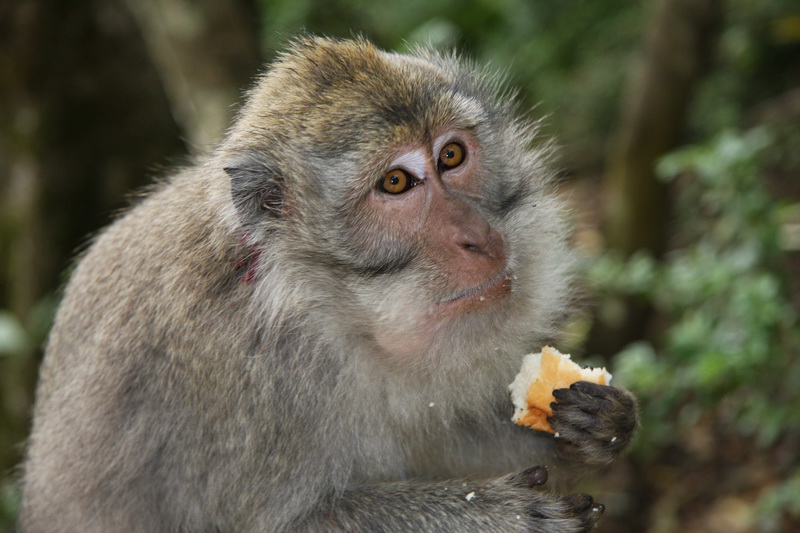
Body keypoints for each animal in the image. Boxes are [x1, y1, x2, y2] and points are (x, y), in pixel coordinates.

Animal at [18, 35, 636, 528]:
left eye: (452, 155)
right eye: (395, 183)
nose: (479, 238)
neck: (318, 308)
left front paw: (596, 430)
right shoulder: (235, 382)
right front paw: (493, 515)